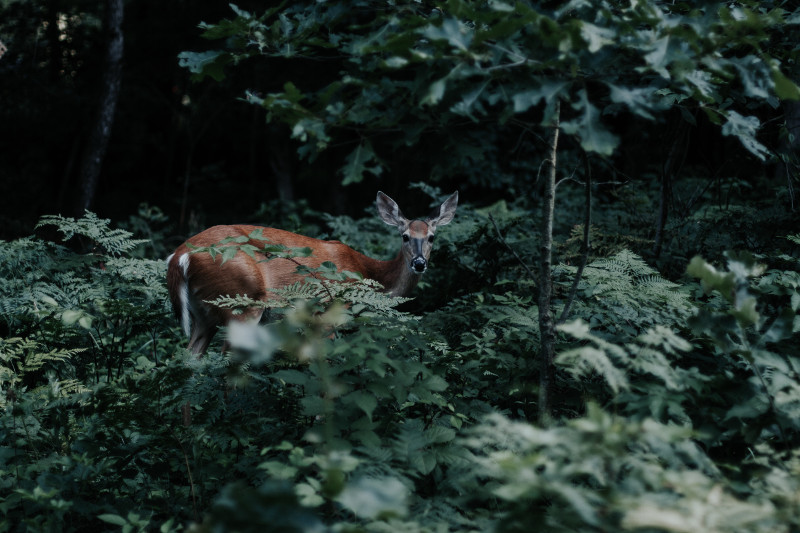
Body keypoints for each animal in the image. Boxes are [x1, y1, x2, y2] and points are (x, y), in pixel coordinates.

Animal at [166, 191, 460, 354]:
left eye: (432, 237)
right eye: (405, 236)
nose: (419, 263)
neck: (367, 273)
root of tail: (180, 256)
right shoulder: (328, 314)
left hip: (203, 314)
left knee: (190, 360)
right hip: (242, 302)